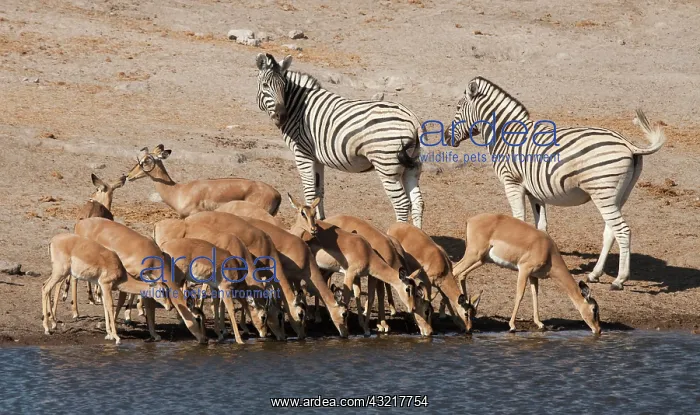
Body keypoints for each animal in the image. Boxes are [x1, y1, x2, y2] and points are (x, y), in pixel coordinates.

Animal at [255, 53, 424, 228]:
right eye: (266, 85)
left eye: (283, 87)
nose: (281, 116)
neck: (299, 108)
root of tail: (413, 120)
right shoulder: (317, 158)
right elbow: (319, 191)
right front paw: (321, 220)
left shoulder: (302, 153)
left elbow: (309, 191)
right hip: (412, 165)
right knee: (417, 202)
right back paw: (415, 233)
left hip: (386, 165)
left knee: (402, 203)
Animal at [448, 76, 666, 290]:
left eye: (458, 107)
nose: (445, 136)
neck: (506, 134)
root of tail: (628, 145)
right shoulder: (534, 192)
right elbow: (541, 226)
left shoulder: (512, 182)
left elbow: (518, 218)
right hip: (618, 196)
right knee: (610, 232)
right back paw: (594, 274)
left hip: (603, 193)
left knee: (622, 231)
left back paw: (620, 279)